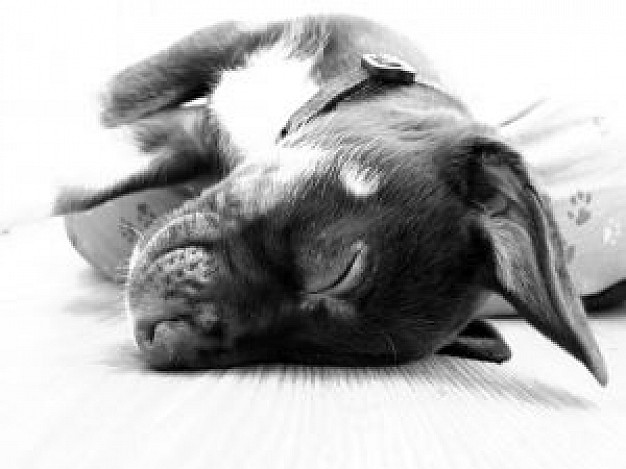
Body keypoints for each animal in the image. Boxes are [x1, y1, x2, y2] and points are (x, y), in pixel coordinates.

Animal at [54, 14, 604, 384]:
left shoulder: (190, 134)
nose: (167, 339)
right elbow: (101, 113)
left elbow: (76, 178)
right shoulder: (228, 44)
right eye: (335, 269)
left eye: (305, 351)